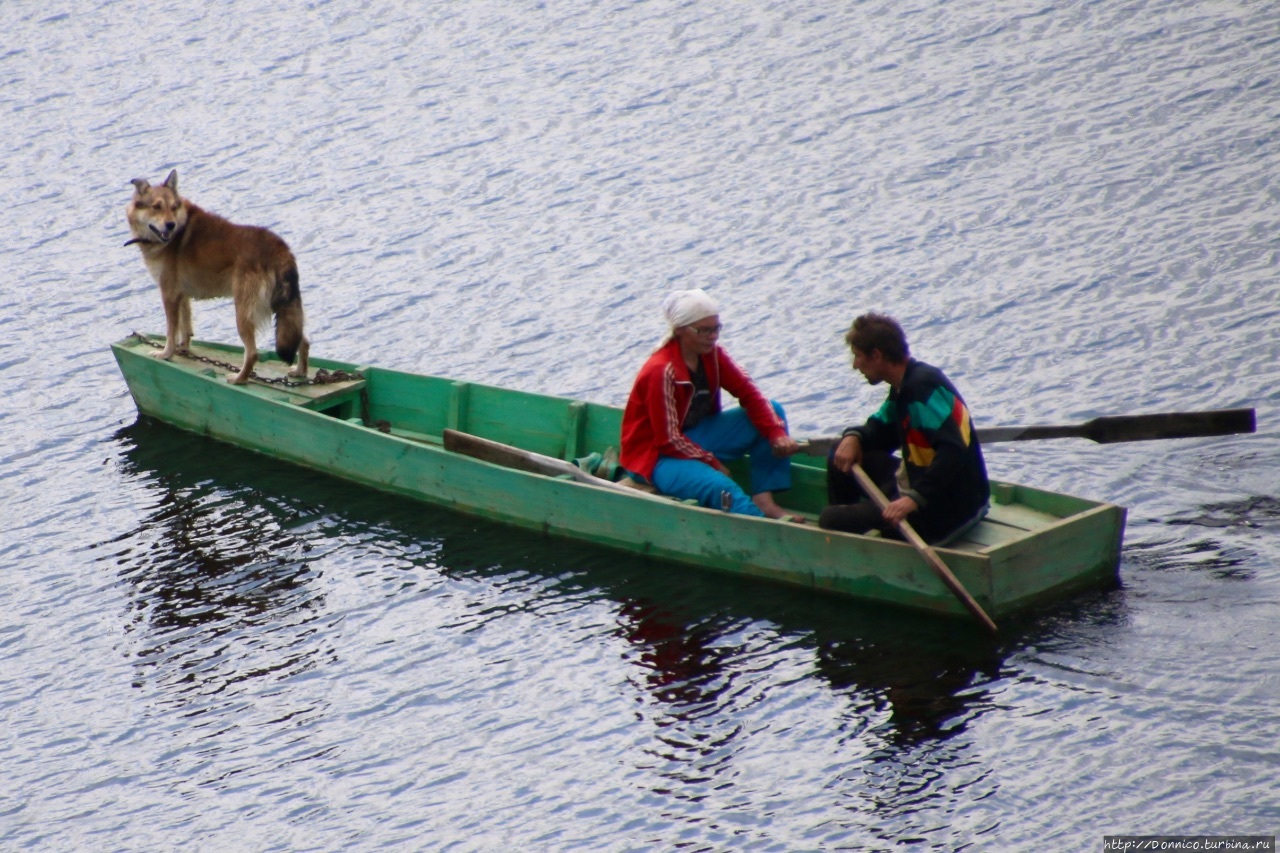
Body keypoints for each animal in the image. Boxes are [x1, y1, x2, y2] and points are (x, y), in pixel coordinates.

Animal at [124, 169, 309, 381]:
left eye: (173, 207)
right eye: (156, 207)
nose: (170, 225)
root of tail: (280, 248)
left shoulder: (169, 294)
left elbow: (171, 330)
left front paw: (166, 354)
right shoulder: (182, 295)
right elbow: (185, 326)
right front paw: (183, 349)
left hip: (243, 311)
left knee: (252, 353)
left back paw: (239, 379)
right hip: (281, 305)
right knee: (302, 340)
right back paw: (300, 371)